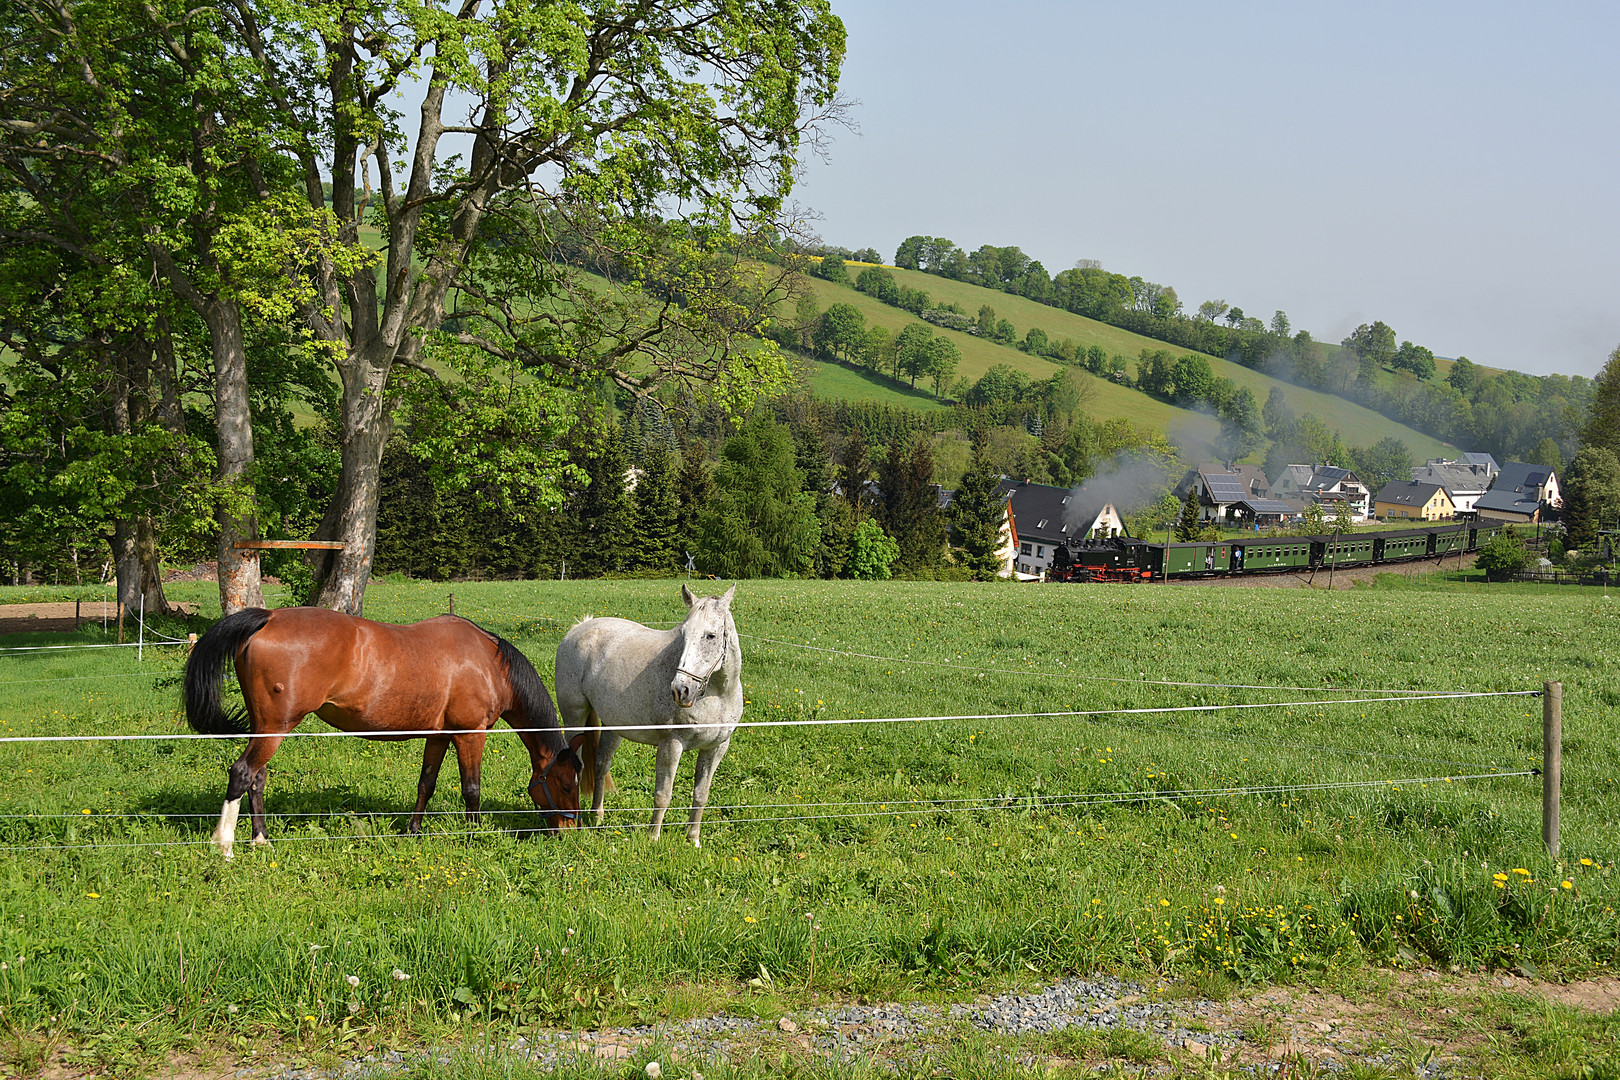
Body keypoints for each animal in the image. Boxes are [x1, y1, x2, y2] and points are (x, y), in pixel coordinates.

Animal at [186, 608, 579, 861]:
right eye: (565, 784)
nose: (569, 831)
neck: (488, 662)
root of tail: (269, 616)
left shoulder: (439, 735)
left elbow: (426, 783)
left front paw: (413, 830)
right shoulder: (470, 734)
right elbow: (472, 789)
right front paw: (473, 835)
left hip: (265, 727)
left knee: (258, 778)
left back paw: (261, 840)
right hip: (275, 728)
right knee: (242, 773)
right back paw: (224, 845)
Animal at [550, 582, 741, 841]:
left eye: (710, 636)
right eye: (683, 634)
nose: (681, 690)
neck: (718, 696)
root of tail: (579, 628)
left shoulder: (716, 747)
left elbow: (701, 794)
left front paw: (693, 838)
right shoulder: (671, 744)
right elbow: (663, 795)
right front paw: (653, 837)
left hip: (613, 726)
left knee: (601, 765)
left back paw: (597, 816)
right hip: (574, 717)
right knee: (576, 765)